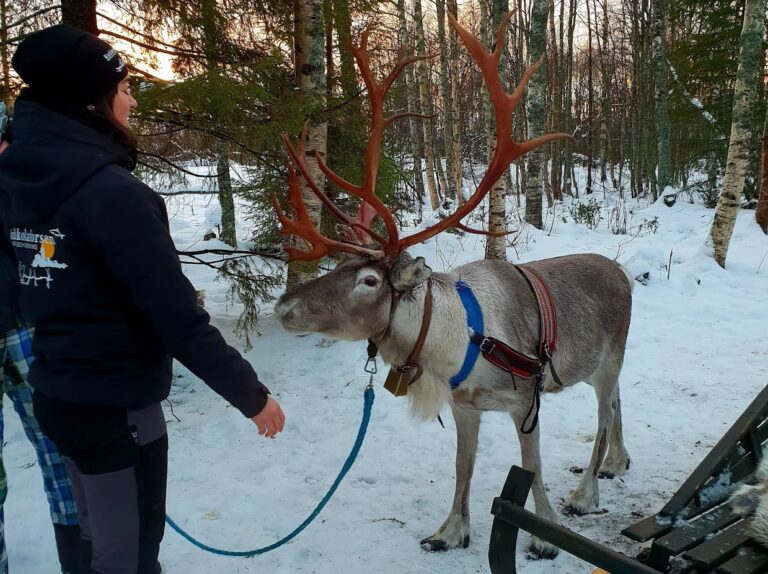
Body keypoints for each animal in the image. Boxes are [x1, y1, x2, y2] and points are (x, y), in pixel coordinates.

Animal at [273, 13, 633, 558]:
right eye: (339, 264)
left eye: (369, 279)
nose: (284, 306)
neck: (455, 345)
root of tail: (623, 274)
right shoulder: (465, 407)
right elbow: (462, 468)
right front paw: (451, 530)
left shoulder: (526, 400)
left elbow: (532, 467)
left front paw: (543, 533)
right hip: (597, 366)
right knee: (616, 403)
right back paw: (617, 463)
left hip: (609, 358)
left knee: (603, 413)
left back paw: (585, 491)